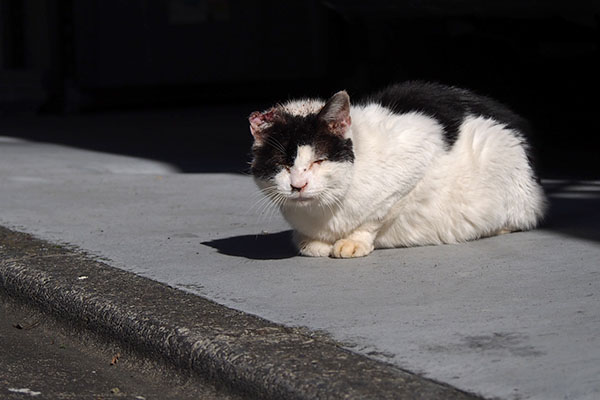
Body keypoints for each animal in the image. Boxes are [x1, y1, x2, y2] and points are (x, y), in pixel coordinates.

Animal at [246, 81, 548, 258]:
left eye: (318, 160)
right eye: (282, 164)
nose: (298, 185)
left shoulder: (418, 154)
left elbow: (375, 216)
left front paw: (353, 242)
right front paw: (311, 243)